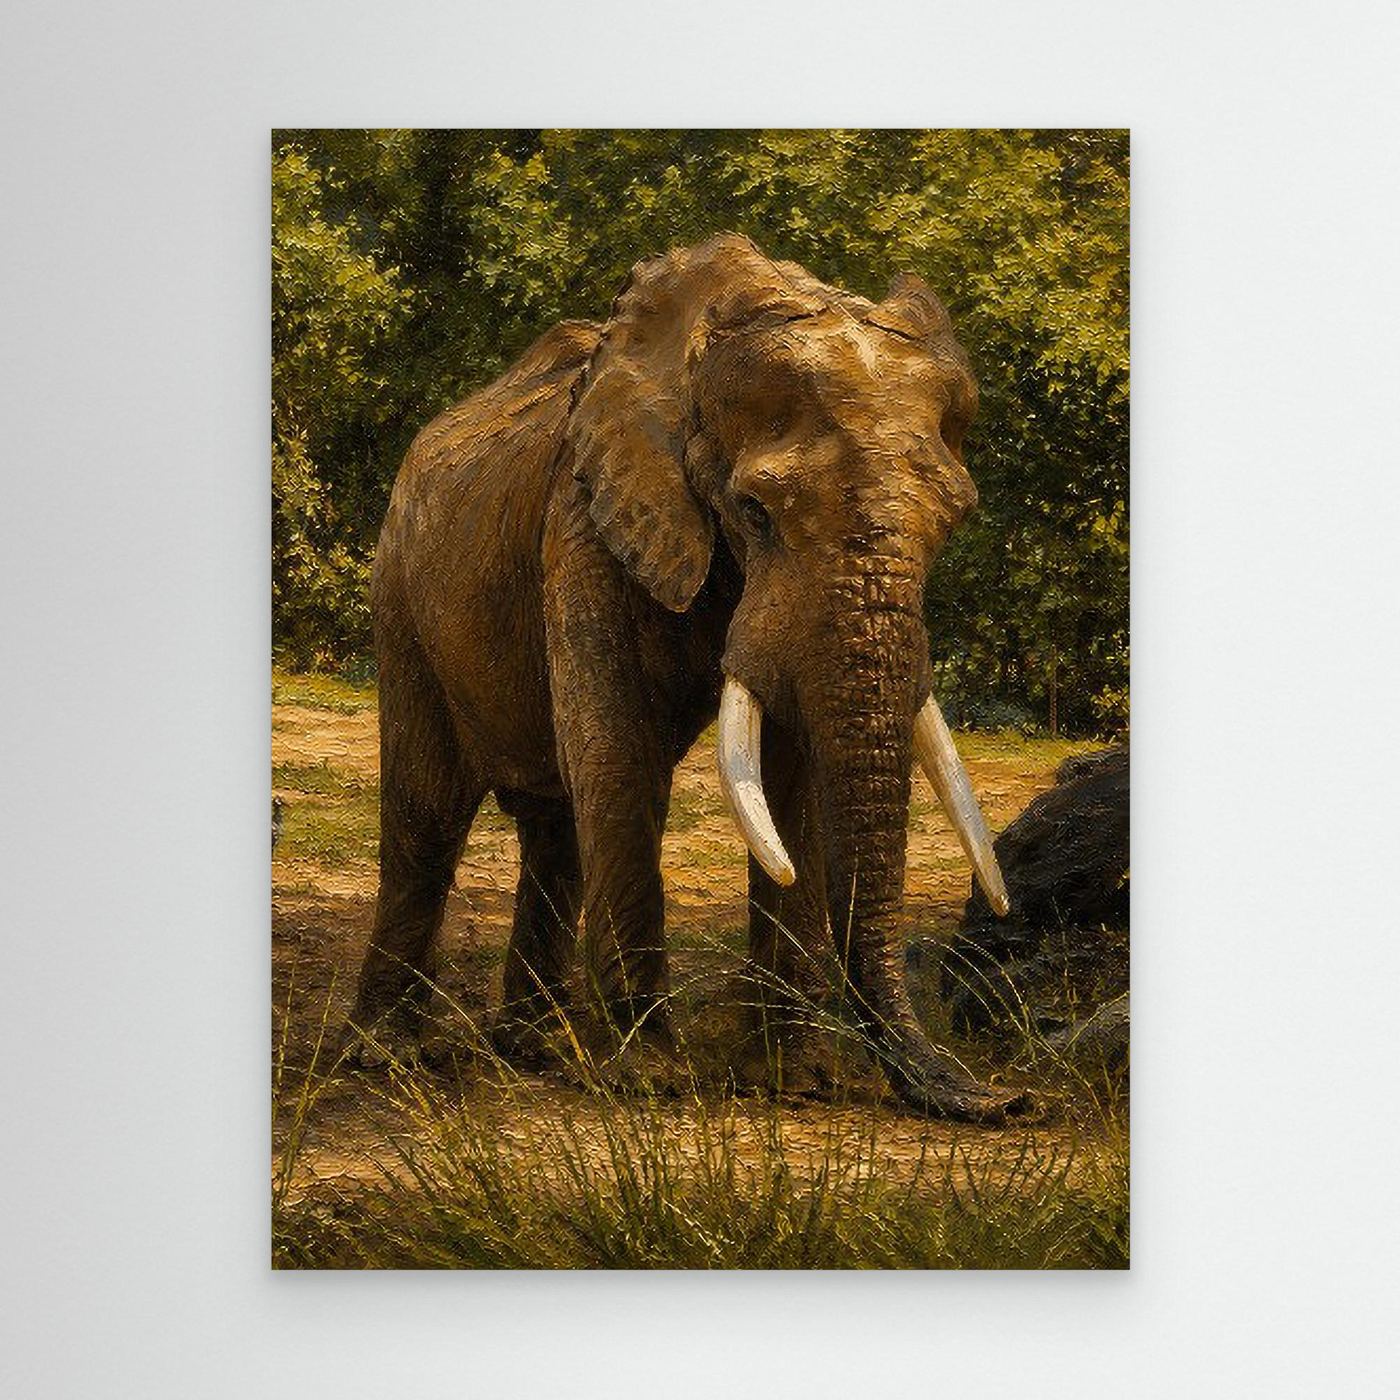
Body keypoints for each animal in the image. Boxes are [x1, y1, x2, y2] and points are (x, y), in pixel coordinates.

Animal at [347, 232, 1024, 1121]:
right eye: (755, 512)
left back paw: (533, 1050)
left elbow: (792, 774)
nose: (1001, 1101)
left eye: (953, 524)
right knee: (428, 811)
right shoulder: (588, 516)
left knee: (554, 827)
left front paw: (795, 1081)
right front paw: (650, 1080)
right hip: (401, 592)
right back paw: (389, 1059)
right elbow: (622, 756)